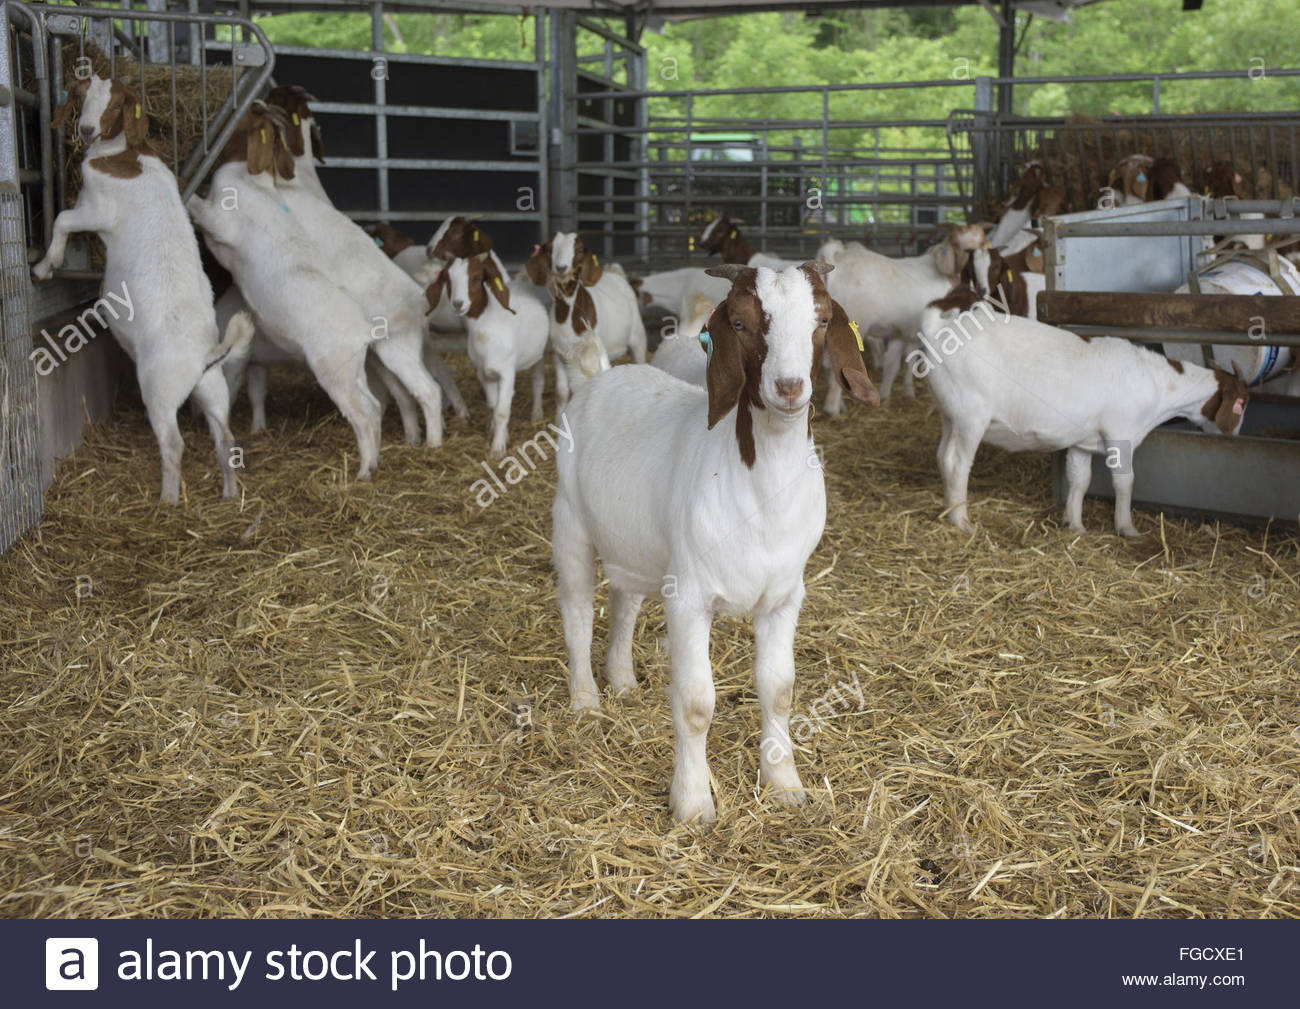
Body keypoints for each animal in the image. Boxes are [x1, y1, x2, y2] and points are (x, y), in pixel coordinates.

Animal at [34, 74, 253, 504]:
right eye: (81, 95)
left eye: (117, 104)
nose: (87, 130)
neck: (125, 156)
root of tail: (205, 354)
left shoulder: (97, 210)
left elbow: (63, 220)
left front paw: (45, 267)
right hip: (212, 388)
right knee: (226, 438)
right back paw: (228, 494)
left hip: (159, 389)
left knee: (173, 443)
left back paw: (167, 501)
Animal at [552, 261, 878, 822]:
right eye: (741, 323)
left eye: (821, 320)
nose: (789, 387)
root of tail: (596, 379)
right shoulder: (689, 598)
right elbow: (695, 703)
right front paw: (692, 803)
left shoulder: (785, 597)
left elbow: (779, 690)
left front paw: (784, 783)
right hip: (570, 524)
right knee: (577, 612)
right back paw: (586, 701)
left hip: (635, 544)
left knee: (624, 599)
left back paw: (622, 679)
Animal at [917, 288, 1250, 538]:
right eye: (1243, 403)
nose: (1235, 435)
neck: (1158, 382)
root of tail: (936, 328)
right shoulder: (1121, 433)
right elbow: (1125, 481)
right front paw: (1127, 528)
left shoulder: (1082, 440)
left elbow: (1080, 479)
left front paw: (1074, 524)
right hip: (971, 414)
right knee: (956, 462)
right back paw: (962, 521)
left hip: (950, 414)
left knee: (941, 456)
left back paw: (948, 510)